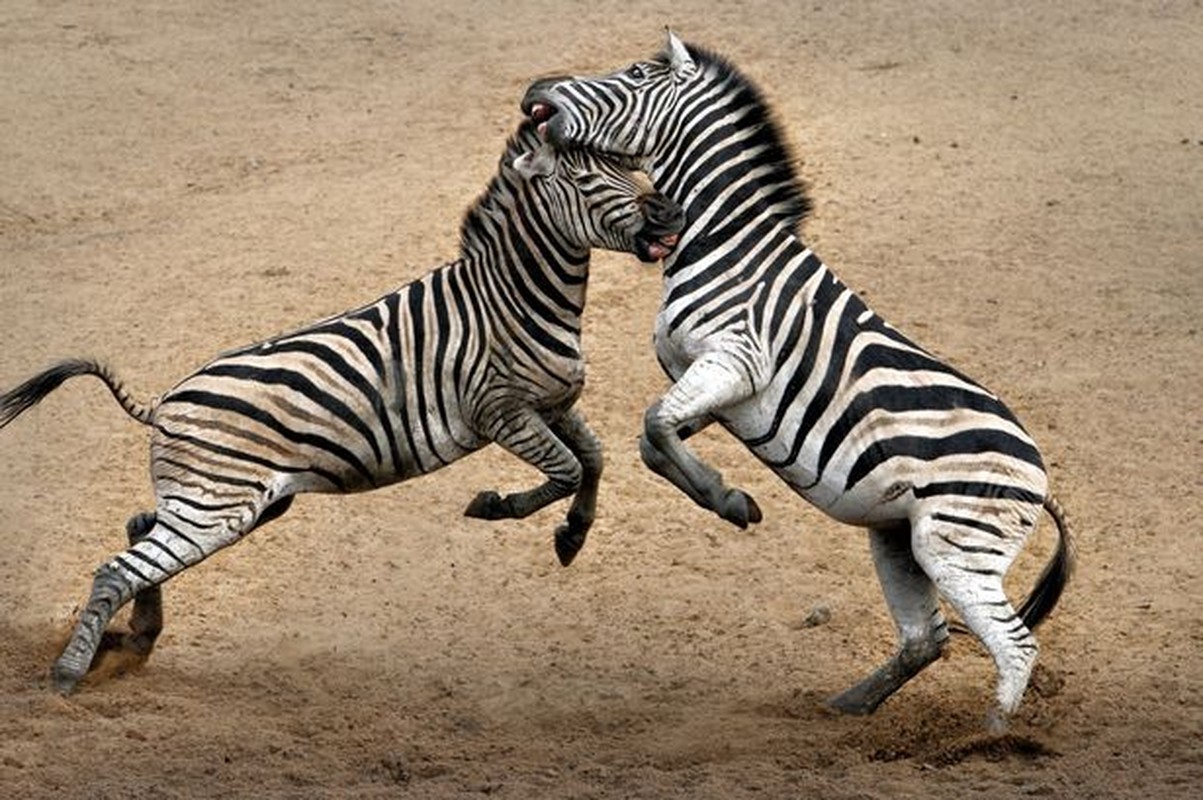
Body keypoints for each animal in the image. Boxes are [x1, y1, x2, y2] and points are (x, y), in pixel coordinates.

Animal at [0, 120, 678, 692]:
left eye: (628, 164)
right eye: (589, 180)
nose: (670, 210)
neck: (513, 298)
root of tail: (162, 402)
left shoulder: (555, 404)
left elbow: (593, 461)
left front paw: (572, 536)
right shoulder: (501, 413)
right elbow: (565, 470)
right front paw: (495, 506)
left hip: (233, 502)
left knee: (141, 533)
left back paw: (136, 641)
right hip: (216, 505)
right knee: (118, 569)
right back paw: (68, 676)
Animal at [522, 34, 1077, 726]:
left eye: (636, 73)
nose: (534, 90)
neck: (726, 242)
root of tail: (1042, 478)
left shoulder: (737, 359)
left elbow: (656, 423)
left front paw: (727, 499)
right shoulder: (710, 383)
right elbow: (654, 438)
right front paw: (722, 495)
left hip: (956, 544)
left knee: (1014, 646)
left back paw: (991, 737)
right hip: (900, 538)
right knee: (927, 639)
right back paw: (849, 707)